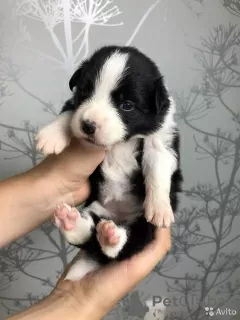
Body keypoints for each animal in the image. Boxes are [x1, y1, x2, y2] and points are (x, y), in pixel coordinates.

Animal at [35, 45, 183, 280]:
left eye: (127, 105)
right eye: (84, 92)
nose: (88, 125)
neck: (120, 143)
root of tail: (117, 217)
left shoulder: (161, 140)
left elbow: (158, 171)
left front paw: (160, 207)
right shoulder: (75, 107)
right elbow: (69, 112)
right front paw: (51, 135)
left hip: (143, 227)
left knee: (124, 246)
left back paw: (111, 237)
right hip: (94, 208)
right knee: (88, 234)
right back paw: (72, 222)